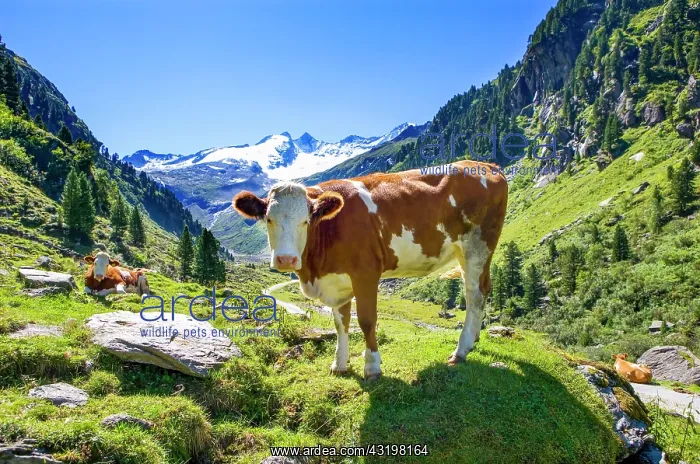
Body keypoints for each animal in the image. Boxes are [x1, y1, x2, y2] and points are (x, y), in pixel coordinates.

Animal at [233, 160, 508, 379]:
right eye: (269, 219)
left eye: (305, 221)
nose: (286, 260)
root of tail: (485, 165)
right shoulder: (337, 279)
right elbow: (341, 323)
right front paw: (339, 364)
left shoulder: (365, 273)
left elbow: (366, 320)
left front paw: (372, 367)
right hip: (465, 251)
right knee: (481, 289)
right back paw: (474, 340)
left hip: (479, 244)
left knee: (475, 293)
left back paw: (460, 351)